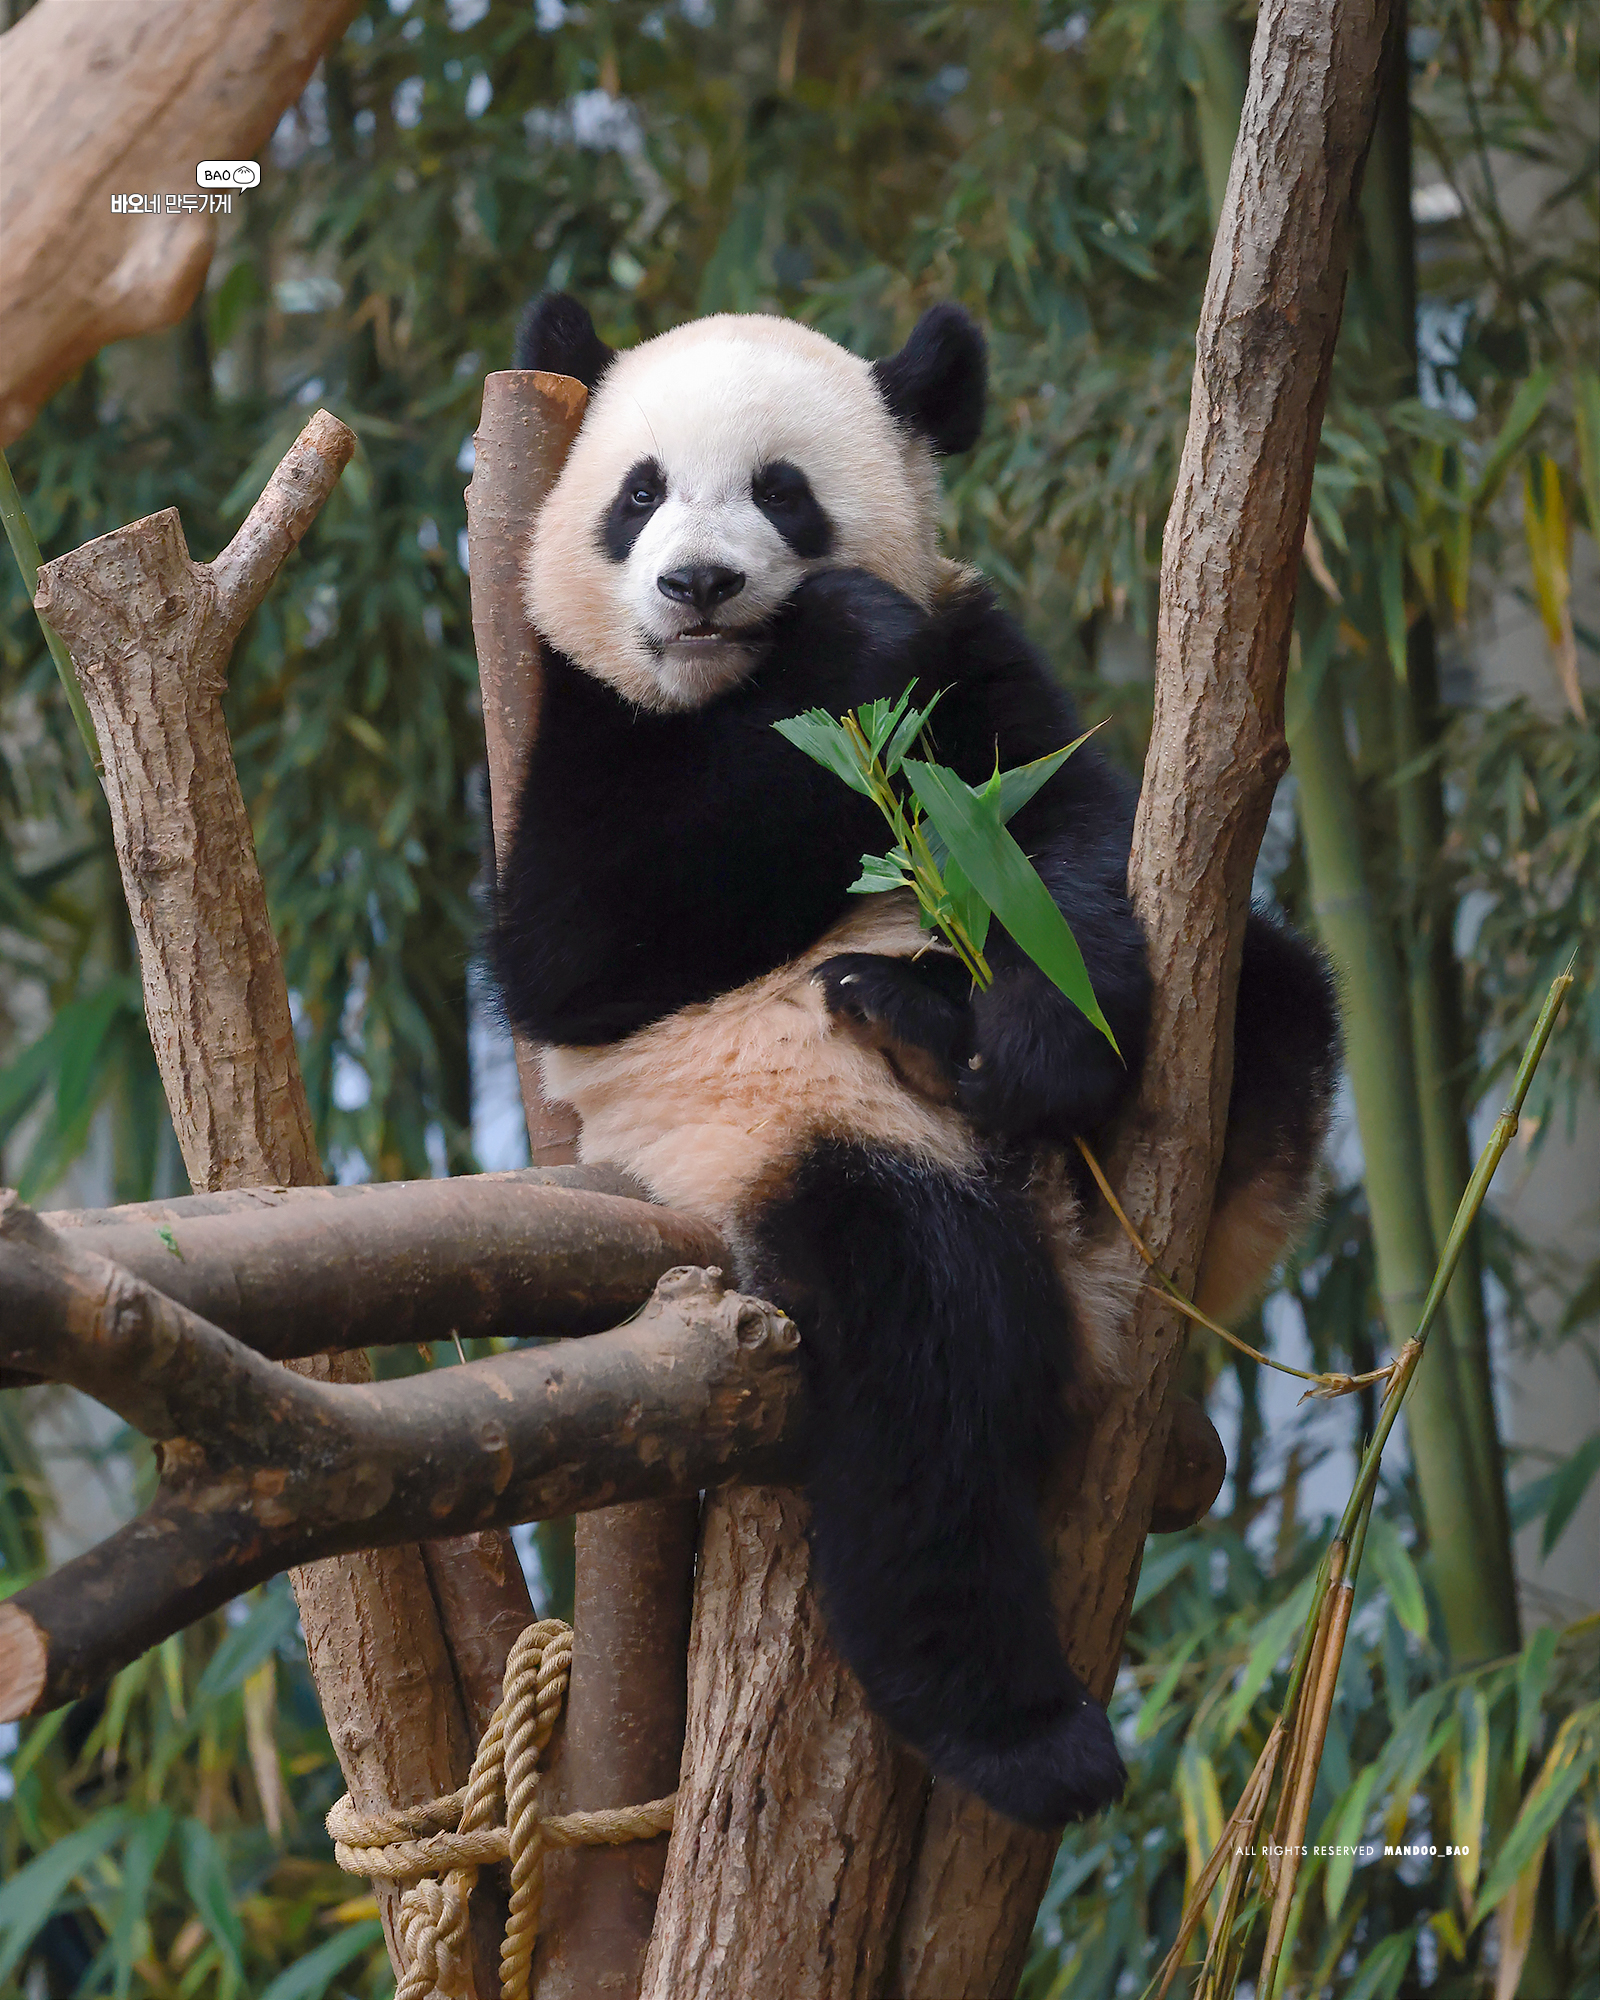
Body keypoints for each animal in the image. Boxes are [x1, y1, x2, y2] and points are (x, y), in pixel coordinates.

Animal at [490, 292, 1336, 1832]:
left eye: (782, 491)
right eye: (637, 492)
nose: (697, 584)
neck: (731, 693)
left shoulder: (973, 660)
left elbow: (1059, 840)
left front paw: (1037, 1038)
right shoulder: (573, 731)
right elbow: (575, 947)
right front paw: (835, 639)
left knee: (1280, 999)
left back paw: (941, 1030)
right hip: (796, 1141)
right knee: (920, 1362)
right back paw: (1024, 1735)